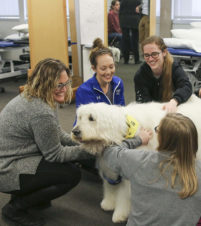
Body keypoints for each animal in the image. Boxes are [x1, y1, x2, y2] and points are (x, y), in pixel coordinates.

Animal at [71, 94, 201, 223]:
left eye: (91, 118)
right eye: (80, 117)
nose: (75, 131)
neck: (123, 131)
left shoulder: (128, 172)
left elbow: (123, 196)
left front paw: (119, 214)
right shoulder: (109, 170)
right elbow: (110, 188)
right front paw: (108, 203)